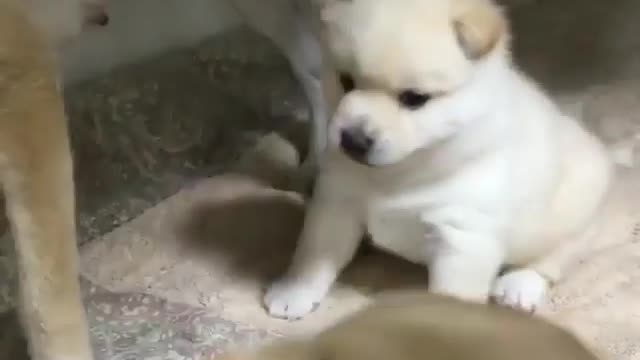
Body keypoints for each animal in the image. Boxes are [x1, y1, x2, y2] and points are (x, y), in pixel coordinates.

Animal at [264, 0, 608, 318]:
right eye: (345, 81)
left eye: (415, 99)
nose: (353, 140)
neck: (401, 170)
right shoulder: (337, 201)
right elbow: (313, 254)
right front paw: (293, 292)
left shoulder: (462, 238)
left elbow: (452, 297)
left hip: (574, 214)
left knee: (551, 260)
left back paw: (518, 287)